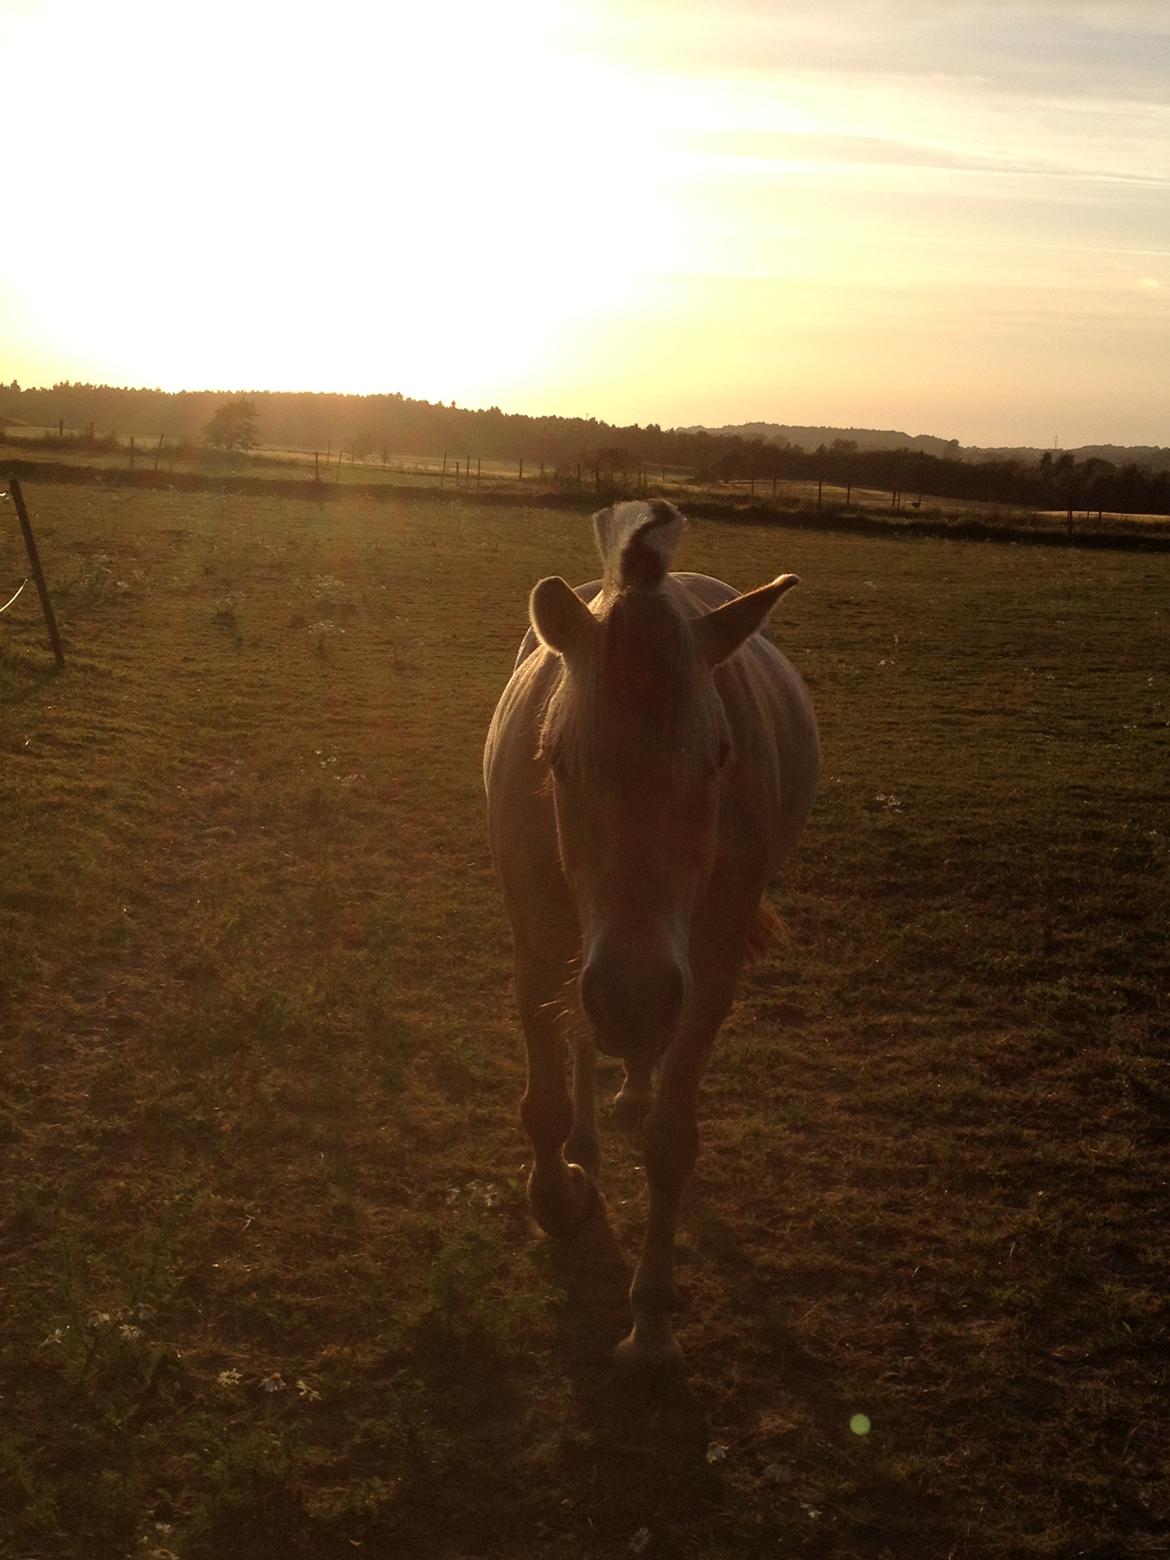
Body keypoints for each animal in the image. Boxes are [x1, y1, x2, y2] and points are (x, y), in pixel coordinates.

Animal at [480, 502, 817, 1366]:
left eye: (721, 756)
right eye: (556, 758)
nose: (633, 996)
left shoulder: (707, 974)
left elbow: (670, 1143)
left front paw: (653, 1321)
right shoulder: (538, 948)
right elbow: (544, 1097)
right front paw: (562, 1190)